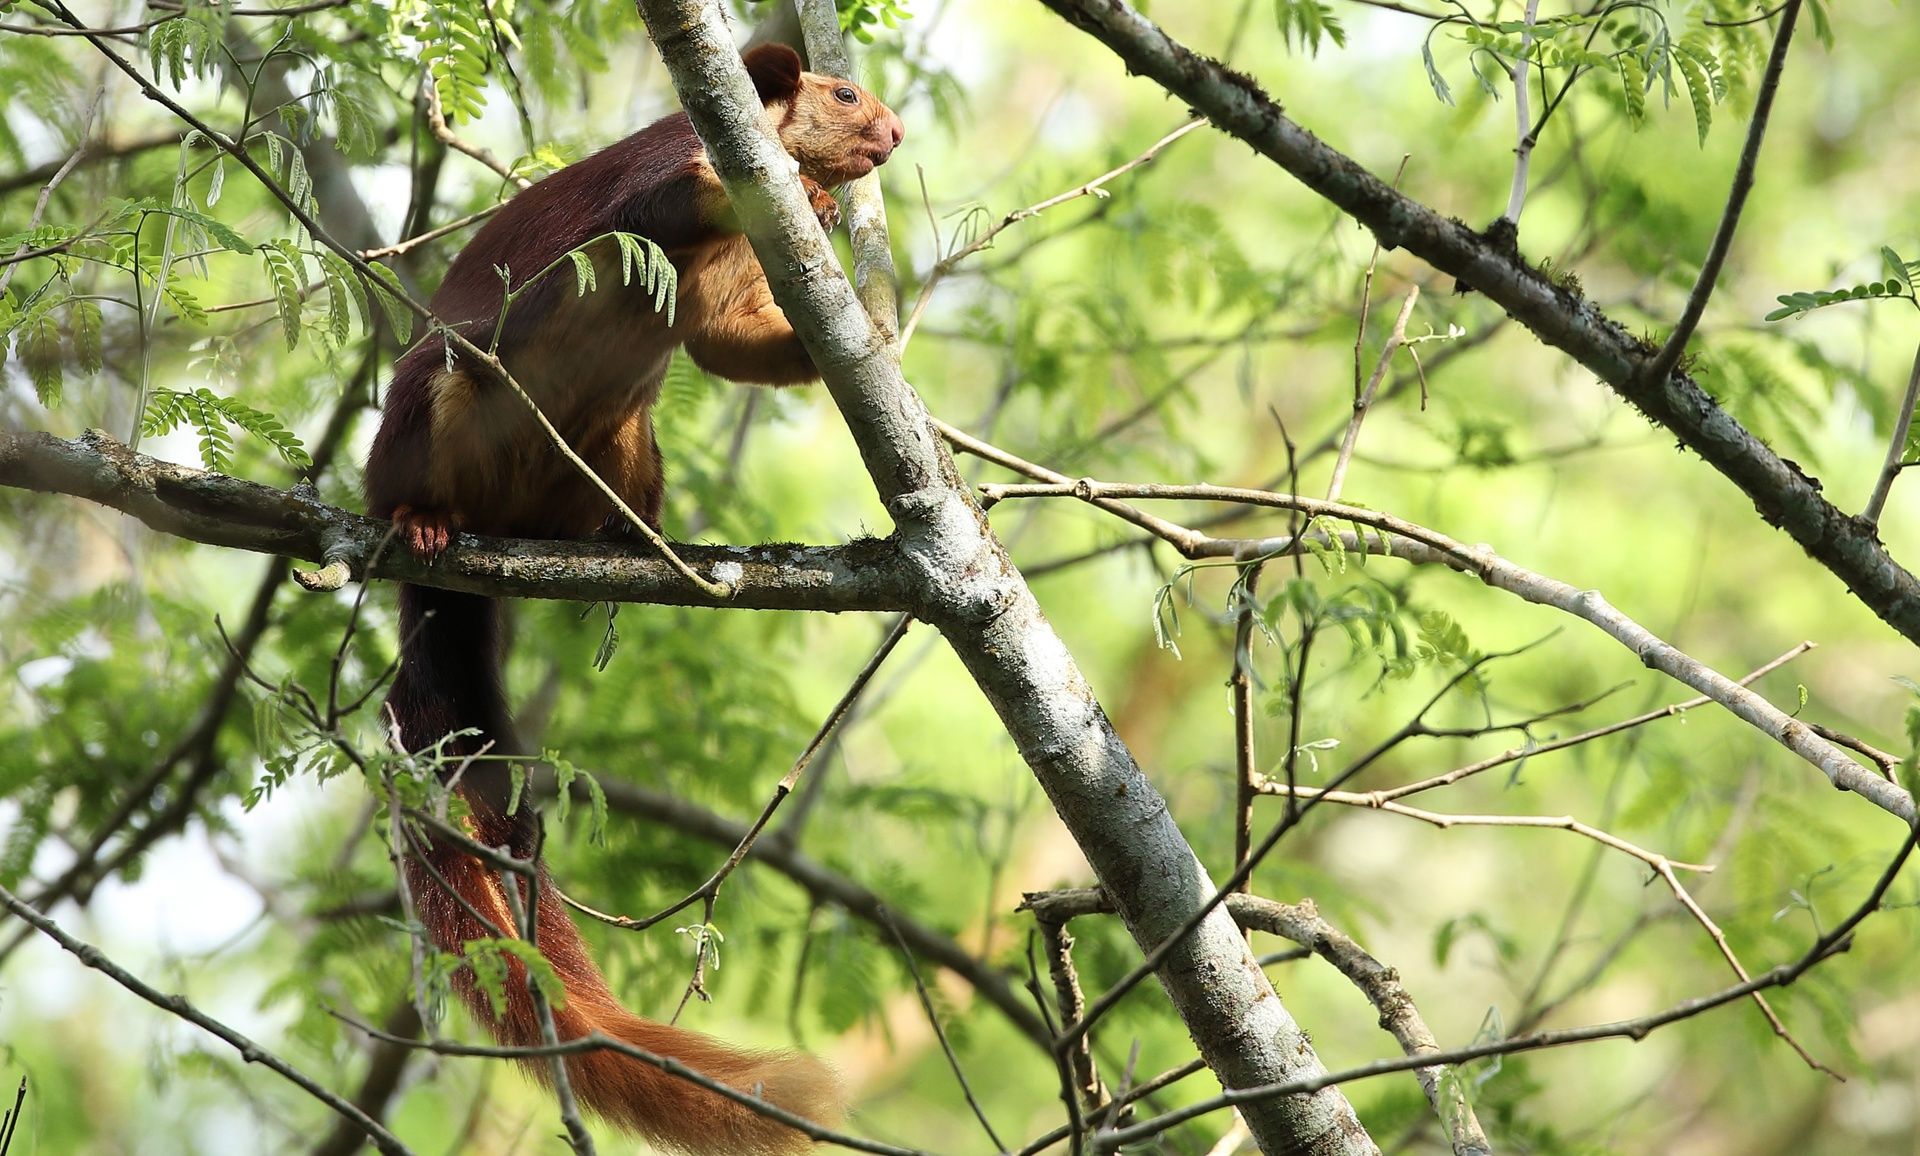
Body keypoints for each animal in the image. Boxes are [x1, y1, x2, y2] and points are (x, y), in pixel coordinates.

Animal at [362, 43, 902, 1155]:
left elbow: (729, 341)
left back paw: (636, 543)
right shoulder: (662, 181)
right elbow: (668, 201)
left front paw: (869, 323)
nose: (895, 134)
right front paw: (816, 196)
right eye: (841, 94)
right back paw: (421, 520)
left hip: (625, 444)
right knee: (413, 449)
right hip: (439, 391)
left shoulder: (729, 294)